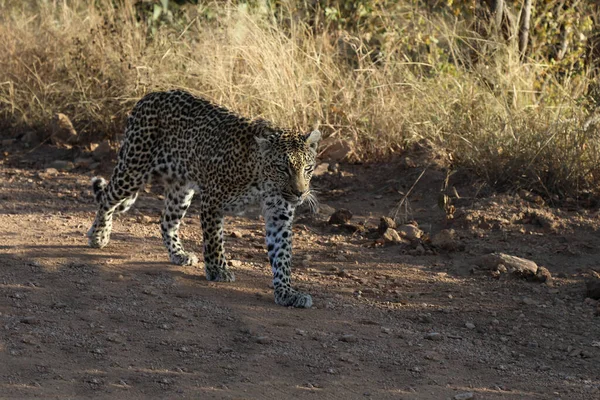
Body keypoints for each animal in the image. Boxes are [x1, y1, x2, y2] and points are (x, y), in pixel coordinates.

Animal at [86, 90, 322, 310]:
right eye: (282, 168)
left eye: (308, 168)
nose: (300, 193)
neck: (262, 180)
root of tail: (150, 95)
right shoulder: (213, 200)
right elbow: (214, 240)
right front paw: (218, 270)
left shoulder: (279, 215)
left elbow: (282, 255)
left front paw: (286, 292)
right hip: (133, 168)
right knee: (107, 198)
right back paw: (98, 235)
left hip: (180, 188)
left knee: (166, 221)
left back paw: (178, 254)